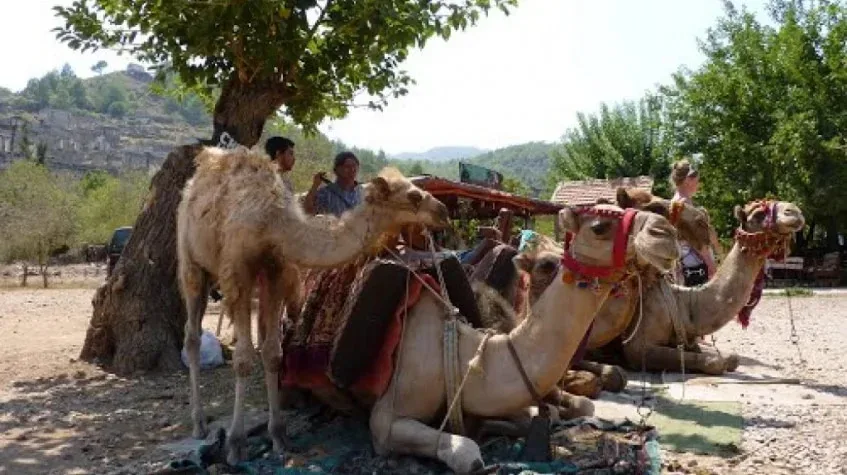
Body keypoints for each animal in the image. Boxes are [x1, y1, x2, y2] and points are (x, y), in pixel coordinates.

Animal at [176, 146, 451, 465]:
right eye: (414, 196)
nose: (443, 211)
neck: (274, 225)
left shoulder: (277, 271)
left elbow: (272, 354)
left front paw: (279, 436)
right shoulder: (238, 272)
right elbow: (243, 360)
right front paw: (235, 444)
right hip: (192, 261)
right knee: (192, 335)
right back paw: (198, 423)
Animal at [366, 203, 680, 473]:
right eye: (599, 227)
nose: (665, 232)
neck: (462, 353)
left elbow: (560, 409)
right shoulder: (386, 417)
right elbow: (467, 453)